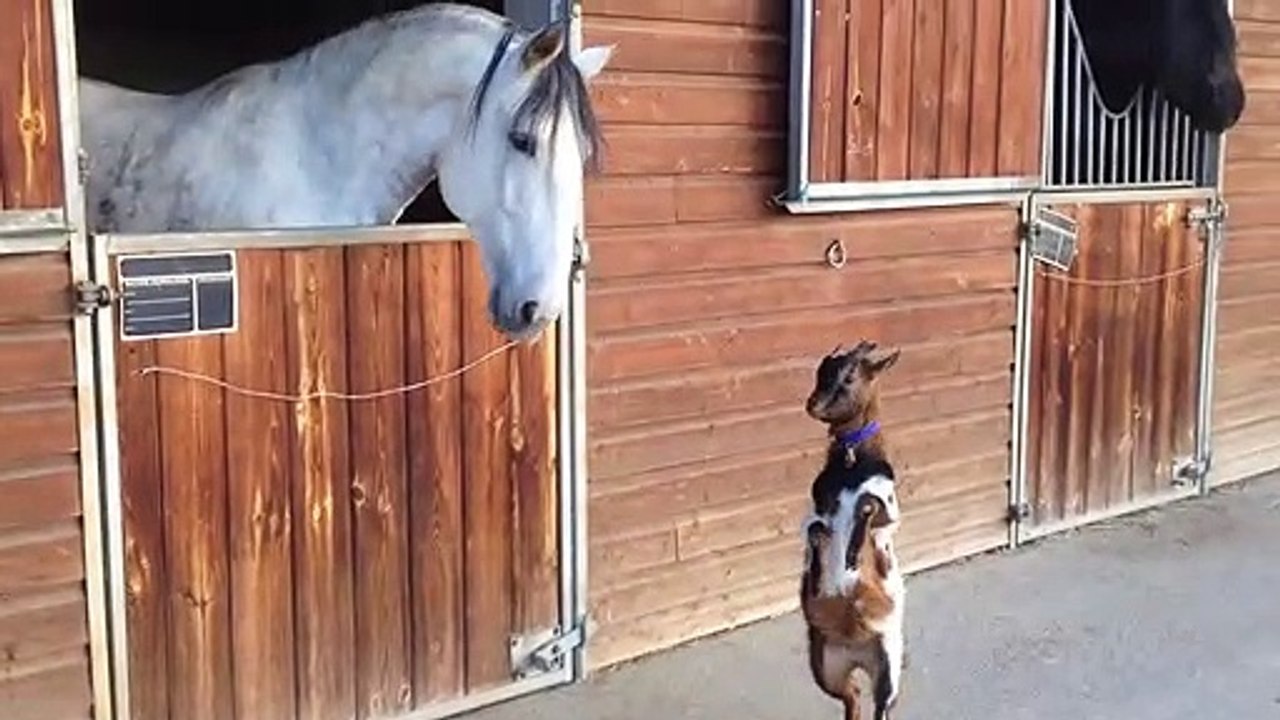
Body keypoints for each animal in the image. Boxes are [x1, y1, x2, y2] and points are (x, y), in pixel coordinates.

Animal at [799, 341, 905, 720]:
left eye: (849, 376)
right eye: (820, 372)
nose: (812, 405)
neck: (852, 464)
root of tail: (854, 647)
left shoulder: (888, 509)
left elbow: (868, 506)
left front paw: (849, 557)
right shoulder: (816, 511)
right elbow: (815, 529)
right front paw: (821, 570)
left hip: (889, 667)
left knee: (879, 705)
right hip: (826, 668)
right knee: (852, 698)